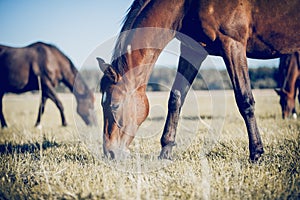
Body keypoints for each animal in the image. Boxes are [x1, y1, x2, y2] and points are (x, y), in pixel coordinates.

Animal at [97, 0, 298, 162]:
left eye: (114, 105)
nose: (110, 153)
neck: (187, 4)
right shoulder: (192, 50)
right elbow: (176, 98)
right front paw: (165, 152)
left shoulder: (233, 45)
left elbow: (244, 99)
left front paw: (256, 152)